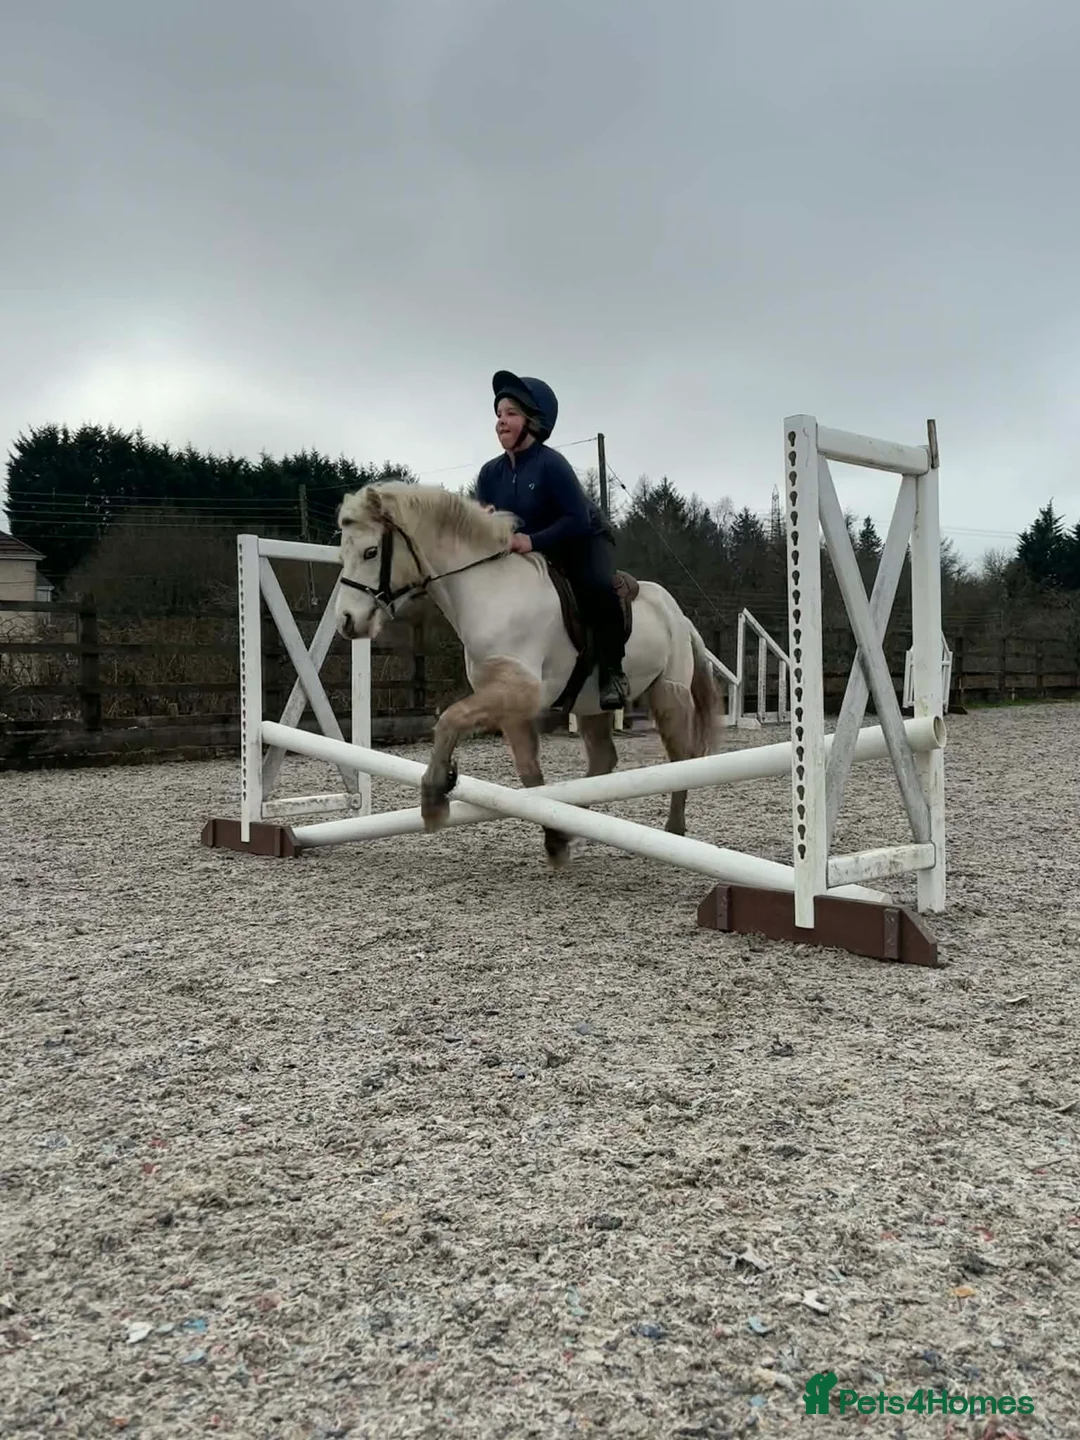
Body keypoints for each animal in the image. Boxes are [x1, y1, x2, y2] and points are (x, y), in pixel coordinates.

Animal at [333, 481, 726, 866]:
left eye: (370, 552)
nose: (347, 622)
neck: (490, 592)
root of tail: (679, 614)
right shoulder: (509, 704)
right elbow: (529, 774)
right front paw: (555, 837)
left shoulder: (520, 691)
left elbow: (449, 719)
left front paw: (433, 800)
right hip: (591, 705)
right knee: (603, 759)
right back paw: (576, 821)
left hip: (669, 694)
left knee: (682, 758)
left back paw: (674, 830)